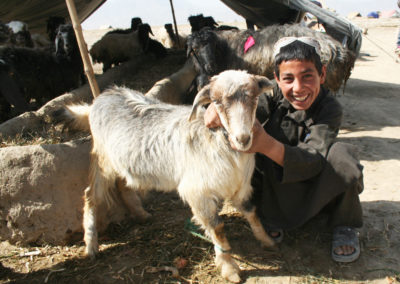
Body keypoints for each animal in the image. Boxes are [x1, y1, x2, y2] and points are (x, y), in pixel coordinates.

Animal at [63, 70, 276, 282]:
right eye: (216, 101)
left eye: (255, 97)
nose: (243, 138)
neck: (219, 141)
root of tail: (100, 99)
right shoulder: (198, 193)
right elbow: (217, 228)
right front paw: (229, 268)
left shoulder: (240, 185)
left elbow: (251, 211)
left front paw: (267, 240)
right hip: (103, 159)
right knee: (91, 195)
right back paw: (91, 245)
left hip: (121, 160)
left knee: (123, 184)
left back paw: (140, 214)